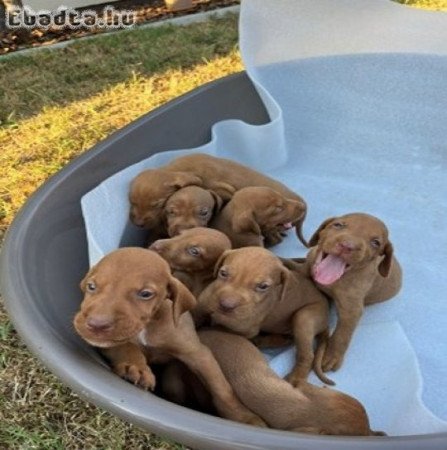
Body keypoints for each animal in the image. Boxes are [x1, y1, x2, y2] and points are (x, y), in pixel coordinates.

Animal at [73, 248, 266, 428]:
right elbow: (127, 347)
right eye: (91, 286)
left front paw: (244, 418)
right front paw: (135, 368)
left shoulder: (198, 354)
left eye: (145, 294)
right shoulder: (111, 342)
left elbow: (222, 388)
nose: (96, 325)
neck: (148, 325)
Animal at [200, 246, 332, 386]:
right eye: (223, 273)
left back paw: (295, 378)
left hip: (304, 317)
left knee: (307, 355)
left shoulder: (245, 330)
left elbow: (216, 328)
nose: (226, 305)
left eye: (263, 286)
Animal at [302, 214, 404, 372]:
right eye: (338, 225)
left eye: (375, 242)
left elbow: (343, 333)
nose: (347, 246)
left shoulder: (351, 309)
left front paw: (332, 356)